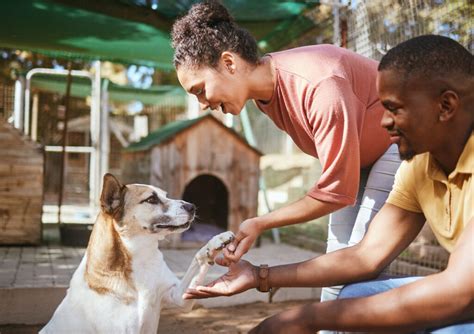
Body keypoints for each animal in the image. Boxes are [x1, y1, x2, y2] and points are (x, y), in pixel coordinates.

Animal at [41, 174, 235, 332]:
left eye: (165, 195)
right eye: (151, 199)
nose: (192, 206)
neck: (140, 257)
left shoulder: (179, 297)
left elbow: (198, 259)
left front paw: (216, 243)